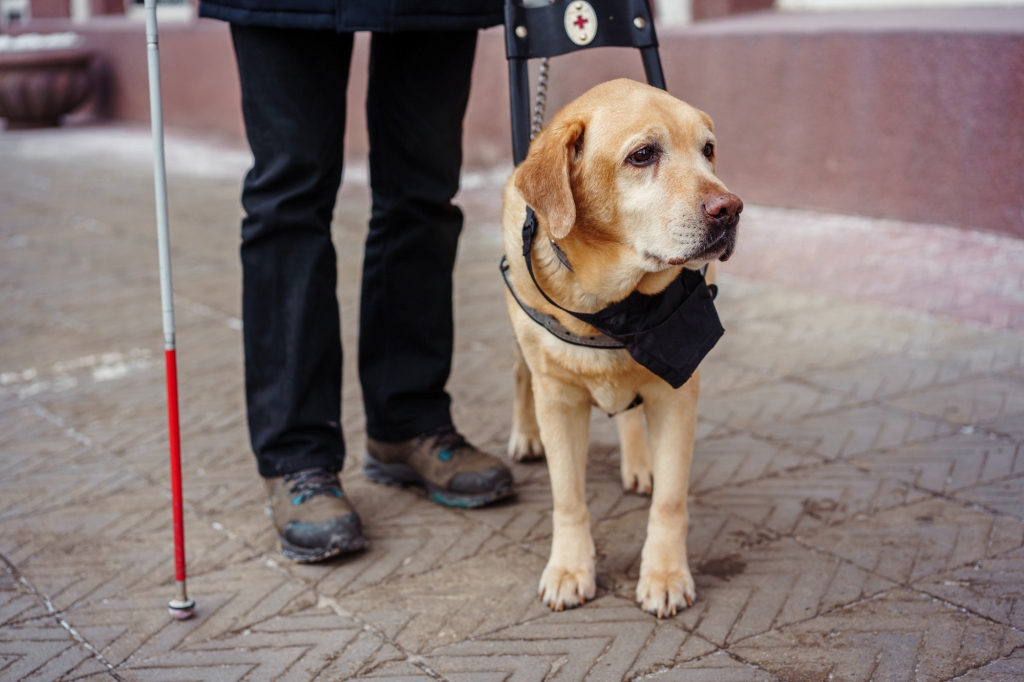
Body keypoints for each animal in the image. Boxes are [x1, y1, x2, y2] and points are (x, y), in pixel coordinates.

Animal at [499, 78, 741, 614]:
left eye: (708, 150)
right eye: (643, 154)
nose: (731, 209)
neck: (613, 307)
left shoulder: (678, 390)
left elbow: (670, 500)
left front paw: (665, 574)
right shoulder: (558, 398)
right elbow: (568, 497)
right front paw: (570, 569)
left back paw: (639, 462)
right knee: (520, 375)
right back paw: (525, 436)